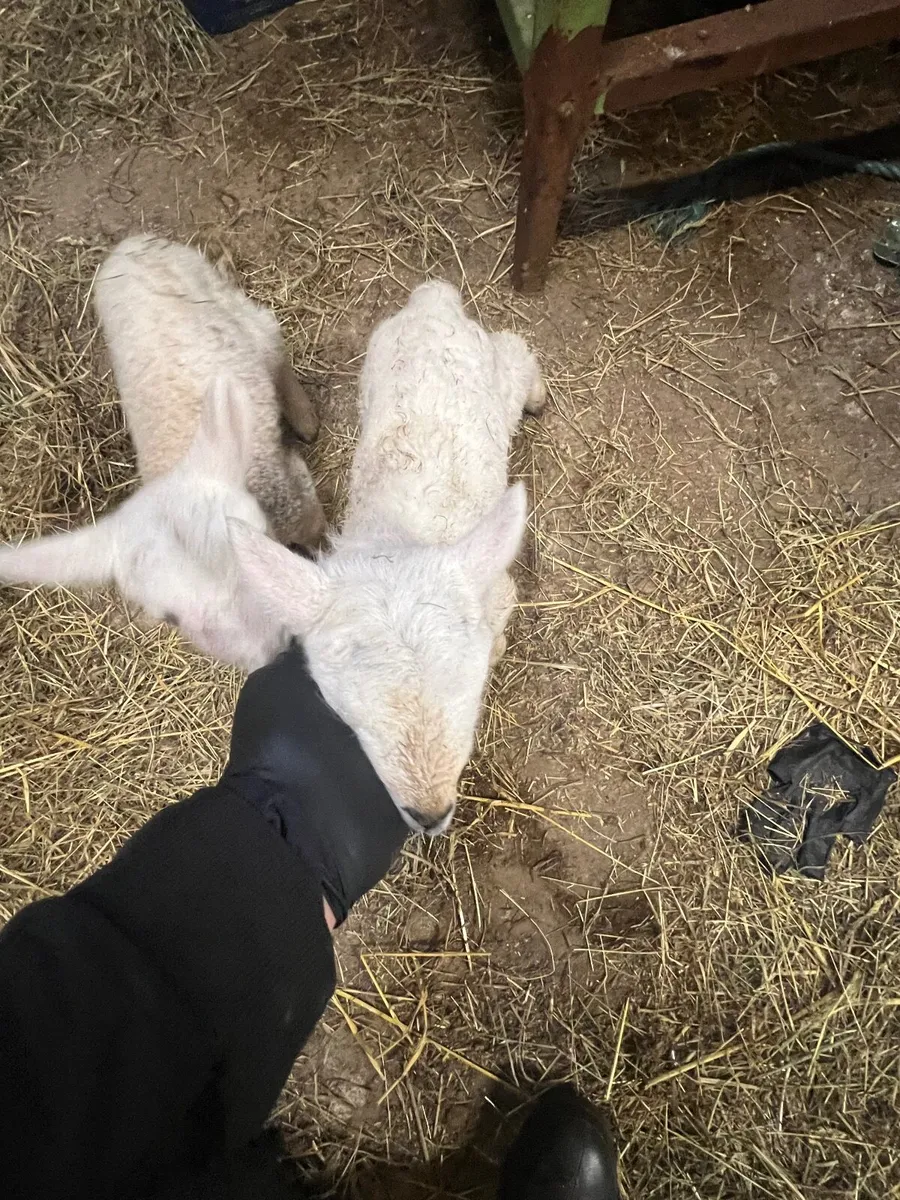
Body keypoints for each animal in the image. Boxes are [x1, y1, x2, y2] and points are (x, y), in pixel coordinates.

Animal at [0, 234, 325, 669]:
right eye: (170, 618)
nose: (278, 653)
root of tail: (132, 244)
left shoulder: (293, 489)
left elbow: (315, 528)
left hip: (226, 303)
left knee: (268, 333)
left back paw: (304, 417)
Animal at [231, 280, 544, 834]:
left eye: (470, 696)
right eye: (352, 719)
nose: (430, 814)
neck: (400, 537)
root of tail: (434, 300)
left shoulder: (499, 589)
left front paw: (499, 647)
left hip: (493, 370)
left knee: (515, 353)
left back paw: (537, 396)